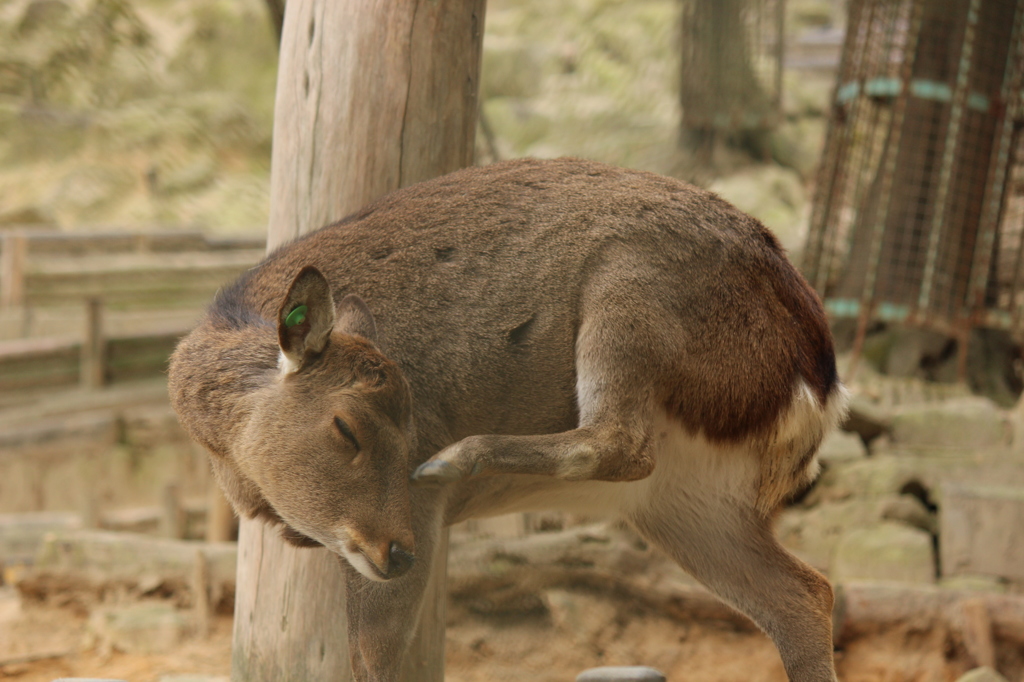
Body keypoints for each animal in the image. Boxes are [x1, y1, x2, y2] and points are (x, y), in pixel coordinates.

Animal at [169, 157, 847, 679]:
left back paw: (457, 460)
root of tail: (819, 378)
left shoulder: (415, 516)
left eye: (410, 427)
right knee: (804, 594)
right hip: (690, 502)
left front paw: (434, 466)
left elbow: (373, 657)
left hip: (629, 286)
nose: (399, 554)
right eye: (347, 427)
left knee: (620, 441)